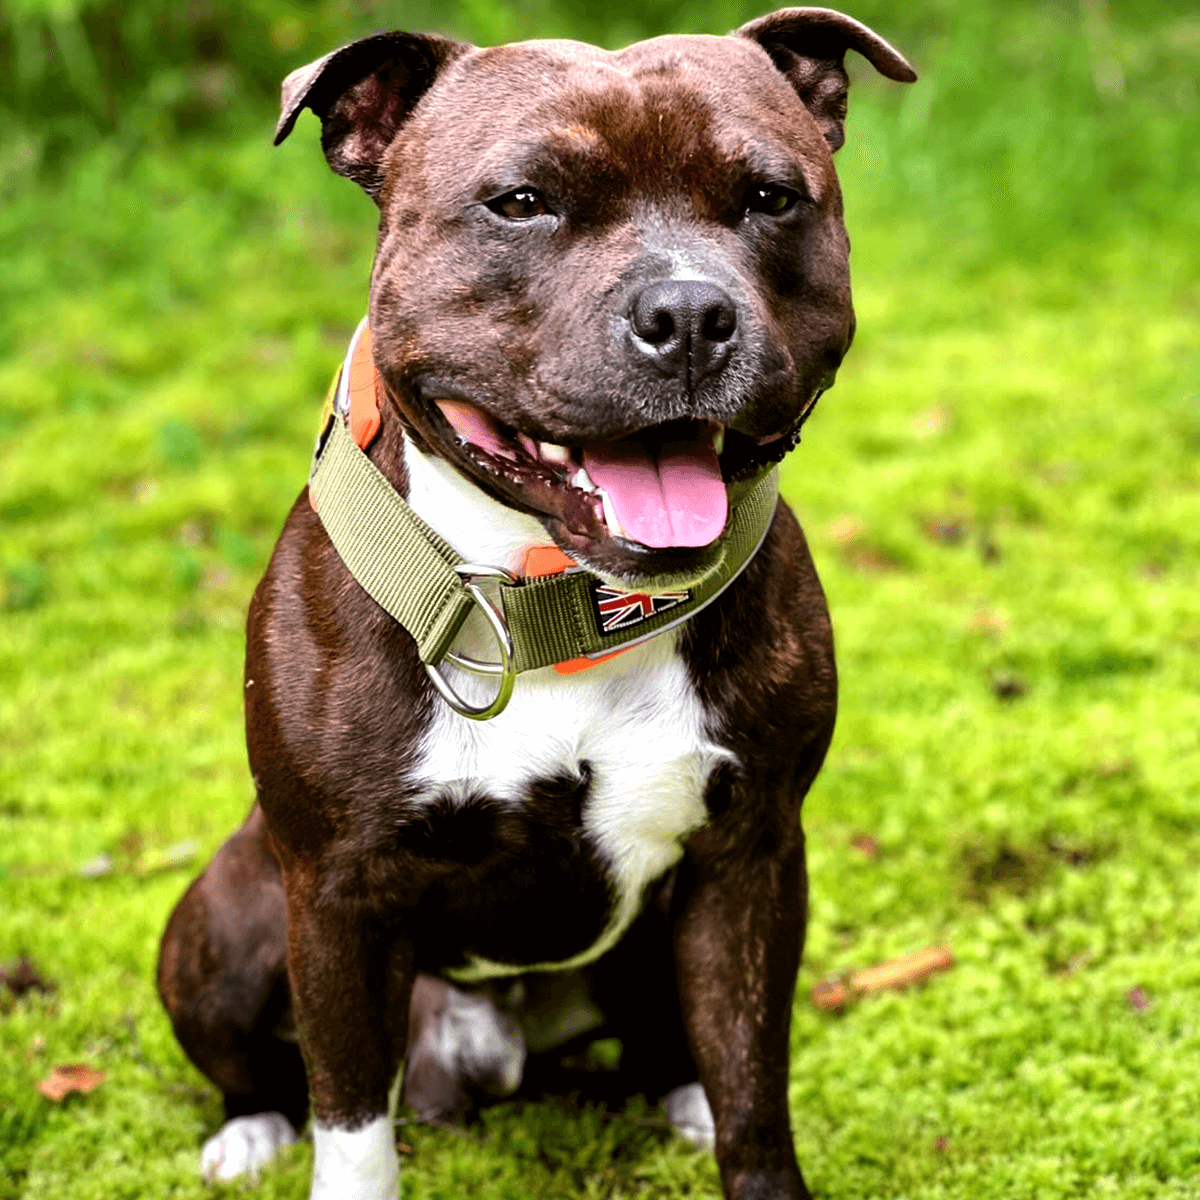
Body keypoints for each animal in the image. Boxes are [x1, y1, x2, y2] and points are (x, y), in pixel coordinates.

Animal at [157, 11, 907, 1200]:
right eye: (520, 202)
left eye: (769, 198)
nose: (688, 311)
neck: (559, 600)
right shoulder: (333, 898)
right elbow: (352, 1125)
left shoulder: (753, 860)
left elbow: (756, 1091)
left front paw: (737, 1134)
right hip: (226, 923)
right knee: (261, 1060)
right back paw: (249, 1128)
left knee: (675, 1040)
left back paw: (678, 1094)